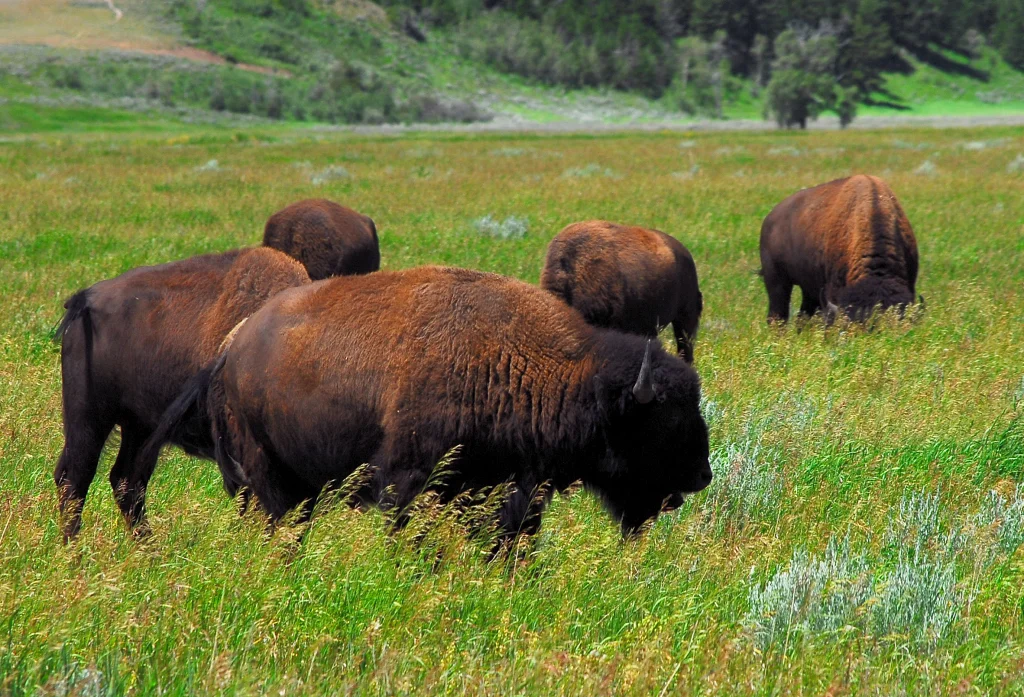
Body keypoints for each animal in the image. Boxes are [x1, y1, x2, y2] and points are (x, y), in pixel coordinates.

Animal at [54, 247, 311, 540]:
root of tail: (86, 299)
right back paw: (73, 549)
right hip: (89, 417)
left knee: (126, 480)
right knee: (75, 478)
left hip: (139, 427)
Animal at [150, 266, 713, 539]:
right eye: (664, 420)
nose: (701, 476)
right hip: (270, 482)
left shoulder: (513, 492)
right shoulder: (411, 483)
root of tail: (231, 346)